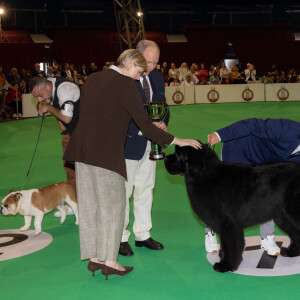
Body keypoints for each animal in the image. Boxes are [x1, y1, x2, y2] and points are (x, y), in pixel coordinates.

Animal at [165, 144, 300, 274]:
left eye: (177, 154)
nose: (165, 157)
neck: (204, 175)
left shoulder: (228, 224)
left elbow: (230, 246)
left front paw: (226, 265)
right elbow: (225, 245)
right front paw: (222, 258)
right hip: (283, 216)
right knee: (295, 233)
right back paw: (291, 252)